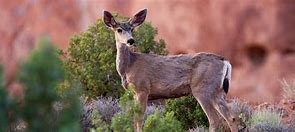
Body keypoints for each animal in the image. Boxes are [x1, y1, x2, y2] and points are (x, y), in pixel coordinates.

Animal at [103, 8, 239, 131]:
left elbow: (139, 119)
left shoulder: (142, 89)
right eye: (119, 29)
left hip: (203, 89)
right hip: (218, 91)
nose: (130, 40)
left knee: (214, 120)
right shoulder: (134, 93)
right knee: (231, 117)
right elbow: (135, 119)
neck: (128, 66)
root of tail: (225, 61)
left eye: (132, 29)